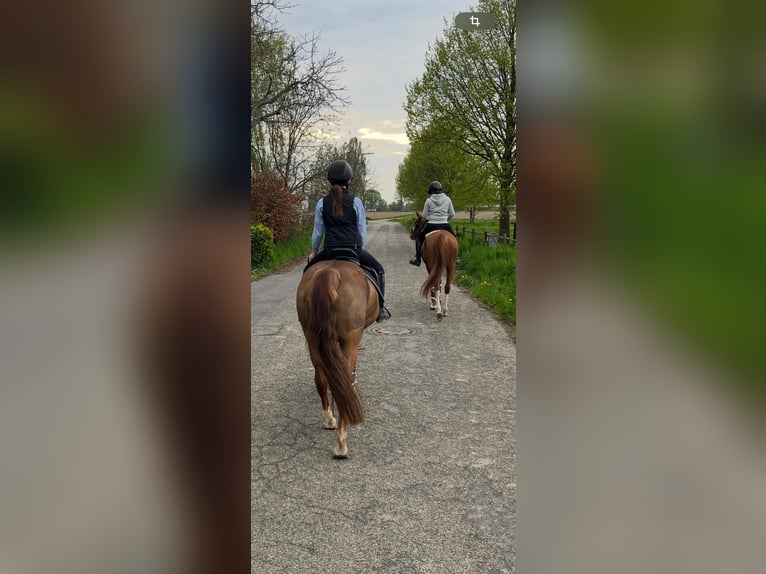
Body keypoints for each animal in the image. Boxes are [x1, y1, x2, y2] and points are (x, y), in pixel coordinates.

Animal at [296, 260, 380, 460]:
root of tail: (331, 273)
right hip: (351, 338)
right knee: (345, 382)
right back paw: (341, 443)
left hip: (312, 337)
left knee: (321, 379)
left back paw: (329, 420)